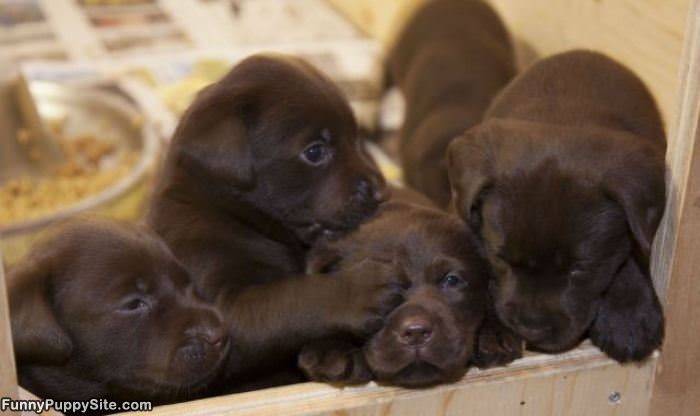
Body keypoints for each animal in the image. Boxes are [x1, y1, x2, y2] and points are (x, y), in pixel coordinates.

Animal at [148, 54, 402, 386]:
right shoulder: (221, 311)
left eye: (356, 138)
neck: (227, 215)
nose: (383, 193)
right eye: (315, 151)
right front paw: (358, 289)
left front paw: (332, 352)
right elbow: (295, 295)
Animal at [448, 50, 668, 362]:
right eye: (501, 260)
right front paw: (490, 331)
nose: (531, 329)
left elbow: (630, 252)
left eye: (579, 270)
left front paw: (629, 315)